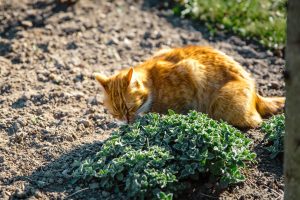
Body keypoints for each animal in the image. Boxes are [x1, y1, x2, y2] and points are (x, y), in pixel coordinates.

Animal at [93, 45, 284, 128]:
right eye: (115, 112)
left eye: (129, 108)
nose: (125, 120)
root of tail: (256, 92)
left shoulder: (189, 71)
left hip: (223, 104)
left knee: (254, 122)